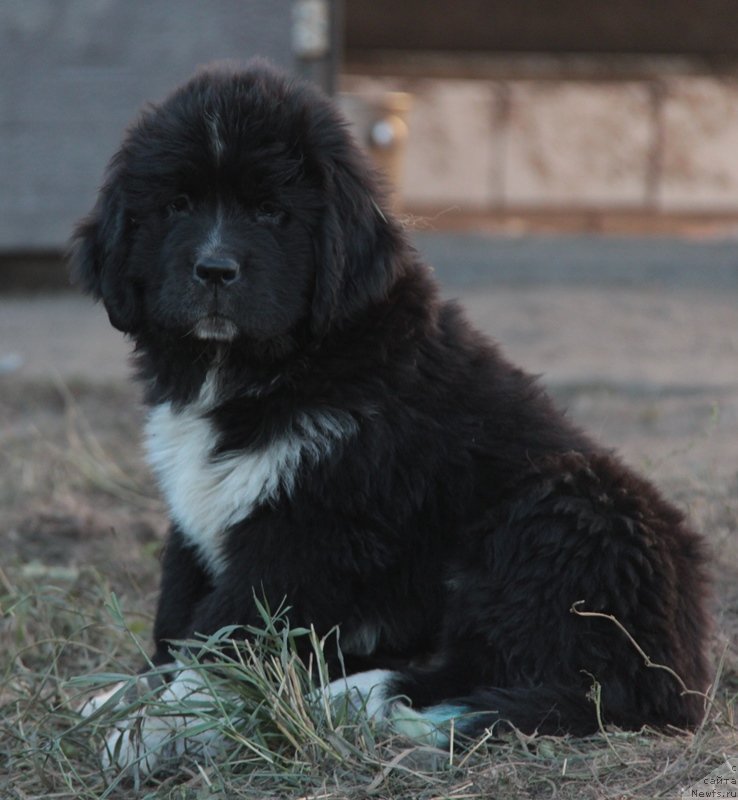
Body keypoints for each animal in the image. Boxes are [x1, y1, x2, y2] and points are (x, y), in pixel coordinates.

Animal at [72, 62, 712, 776]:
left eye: (270, 212)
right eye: (177, 206)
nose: (214, 269)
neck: (251, 370)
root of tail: (681, 680)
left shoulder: (312, 533)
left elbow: (225, 638)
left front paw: (155, 731)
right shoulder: (198, 510)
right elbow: (178, 616)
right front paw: (126, 697)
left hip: (561, 513)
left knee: (510, 675)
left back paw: (352, 698)